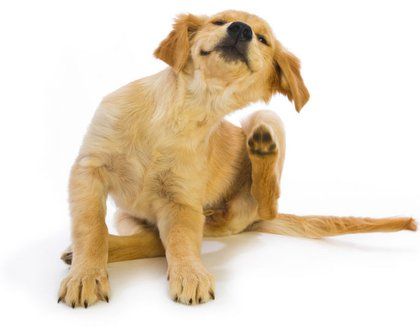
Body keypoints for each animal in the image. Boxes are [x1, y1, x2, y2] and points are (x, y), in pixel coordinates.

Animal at [57, 11, 416, 310]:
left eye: (263, 39)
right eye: (218, 21)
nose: (241, 29)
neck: (183, 111)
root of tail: (247, 218)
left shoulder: (182, 201)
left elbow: (181, 241)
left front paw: (190, 274)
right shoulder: (88, 169)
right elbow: (91, 228)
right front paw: (85, 276)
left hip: (265, 120)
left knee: (266, 199)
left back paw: (261, 149)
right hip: (128, 216)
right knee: (151, 239)